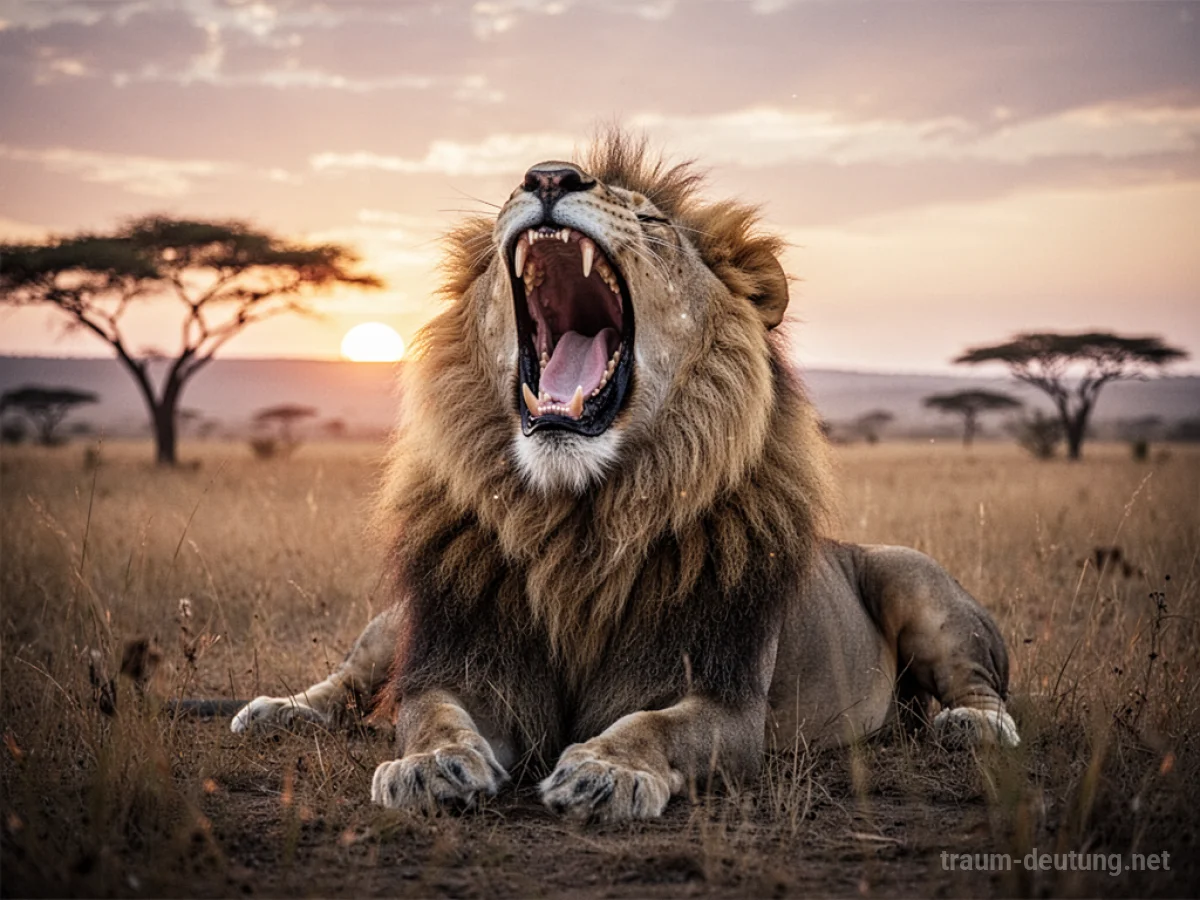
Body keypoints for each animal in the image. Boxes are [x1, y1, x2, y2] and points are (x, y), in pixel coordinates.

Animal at [232, 133, 1019, 822]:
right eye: (513, 194)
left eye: (651, 220)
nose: (548, 176)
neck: (576, 520)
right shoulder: (461, 662)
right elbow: (427, 714)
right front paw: (431, 768)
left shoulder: (726, 702)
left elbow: (656, 727)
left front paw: (604, 773)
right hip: (400, 620)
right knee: (352, 679)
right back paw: (280, 711)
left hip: (910, 573)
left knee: (979, 683)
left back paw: (974, 726)